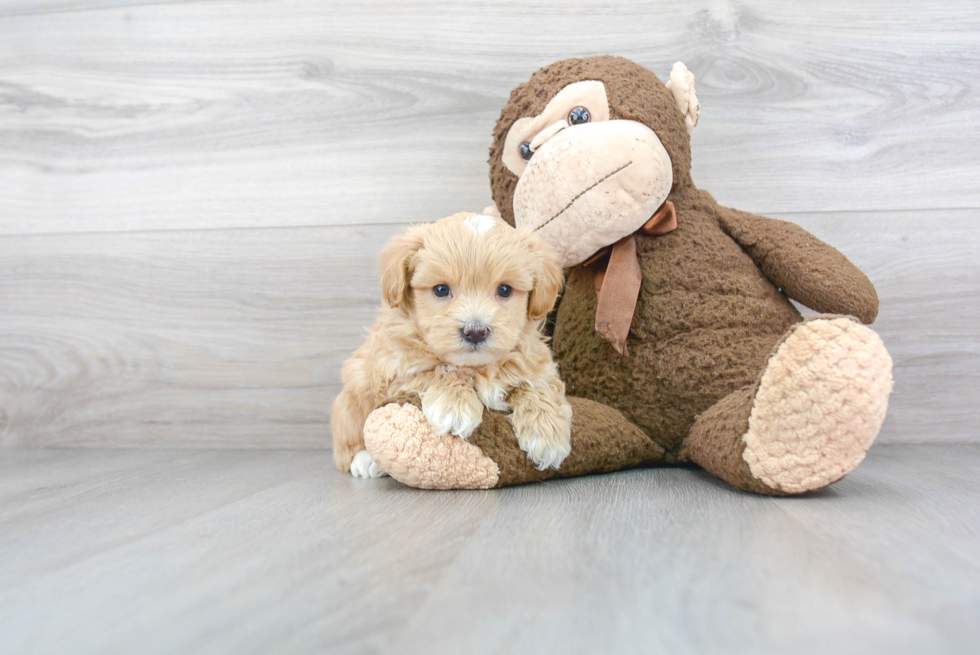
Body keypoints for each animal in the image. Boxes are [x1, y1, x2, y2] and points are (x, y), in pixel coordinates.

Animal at [334, 213, 572, 480]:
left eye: (504, 290)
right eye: (441, 289)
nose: (475, 331)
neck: (478, 367)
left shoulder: (537, 364)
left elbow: (538, 386)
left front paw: (547, 434)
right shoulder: (397, 367)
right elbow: (441, 368)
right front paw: (454, 406)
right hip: (351, 399)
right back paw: (365, 460)